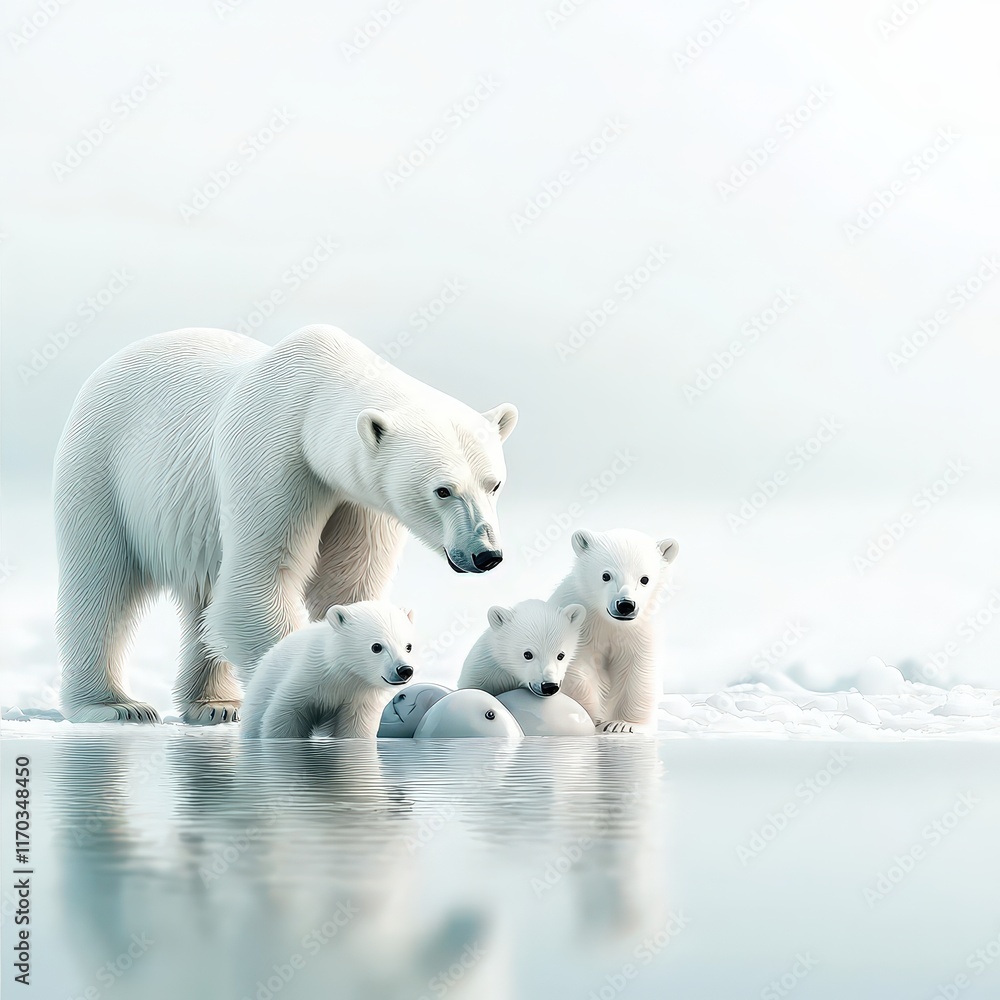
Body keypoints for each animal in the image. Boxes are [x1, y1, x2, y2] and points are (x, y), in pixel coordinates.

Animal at [53, 325, 517, 724]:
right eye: (443, 490)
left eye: (494, 484)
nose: (486, 554)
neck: (316, 395)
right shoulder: (274, 455)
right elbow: (257, 584)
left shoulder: (358, 497)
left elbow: (347, 586)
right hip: (103, 465)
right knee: (101, 581)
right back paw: (115, 705)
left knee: (203, 594)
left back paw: (216, 705)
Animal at [241, 601, 417, 739]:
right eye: (376, 647)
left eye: (408, 646)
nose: (404, 670)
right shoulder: (307, 676)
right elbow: (282, 715)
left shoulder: (361, 695)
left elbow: (356, 727)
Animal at [549, 529, 679, 734]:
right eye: (606, 575)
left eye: (644, 579)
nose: (625, 605)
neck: (609, 622)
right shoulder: (583, 623)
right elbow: (578, 666)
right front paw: (591, 715)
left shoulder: (640, 632)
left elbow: (639, 671)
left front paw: (623, 724)